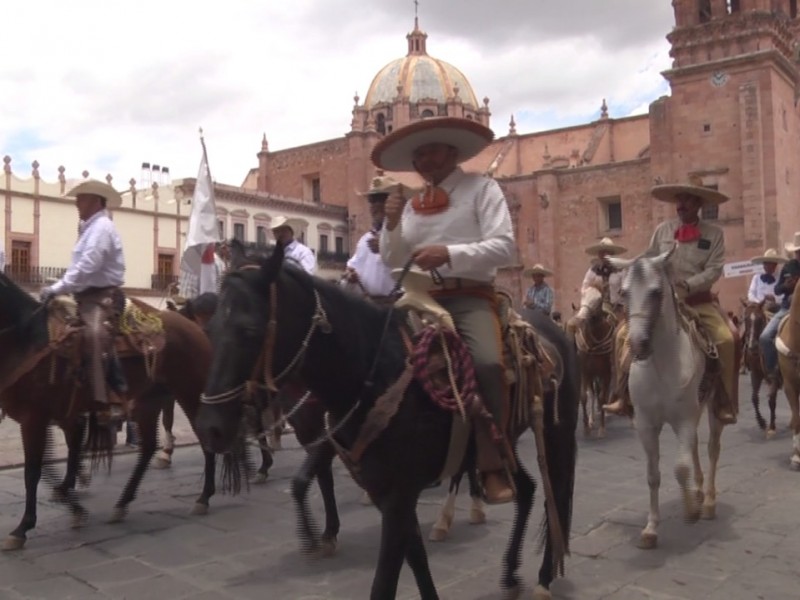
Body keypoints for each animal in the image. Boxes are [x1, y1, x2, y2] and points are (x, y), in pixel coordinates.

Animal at [0, 274, 219, 552]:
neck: (27, 341)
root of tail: (195, 327)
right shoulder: (56, 417)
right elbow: (54, 465)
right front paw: (74, 506)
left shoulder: (35, 419)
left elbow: (33, 472)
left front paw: (22, 528)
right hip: (149, 401)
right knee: (148, 447)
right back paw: (122, 503)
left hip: (189, 392)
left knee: (204, 439)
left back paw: (204, 497)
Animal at [196, 243, 580, 600]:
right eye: (210, 327)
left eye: (249, 330)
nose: (210, 428)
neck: (373, 372)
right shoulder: (385, 491)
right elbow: (416, 560)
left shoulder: (396, 495)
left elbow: (384, 582)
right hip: (502, 443)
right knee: (527, 489)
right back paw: (510, 573)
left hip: (557, 432)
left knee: (556, 496)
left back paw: (543, 577)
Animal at [608, 247, 728, 548]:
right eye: (624, 292)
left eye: (656, 292)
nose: (638, 345)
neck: (660, 364)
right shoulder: (645, 424)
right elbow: (653, 475)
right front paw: (651, 529)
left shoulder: (683, 419)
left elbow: (681, 468)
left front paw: (691, 510)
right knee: (696, 446)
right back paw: (698, 492)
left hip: (713, 407)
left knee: (712, 449)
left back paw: (708, 501)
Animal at [736, 300, 780, 436]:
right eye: (745, 319)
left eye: (760, 319)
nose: (752, 345)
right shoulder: (756, 374)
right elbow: (754, 398)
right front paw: (762, 422)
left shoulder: (774, 376)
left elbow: (771, 400)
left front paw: (772, 426)